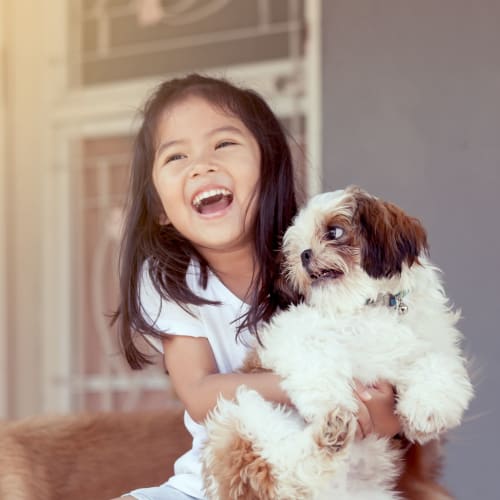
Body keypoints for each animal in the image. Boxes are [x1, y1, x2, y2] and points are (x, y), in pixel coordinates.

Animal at [200, 186, 472, 498]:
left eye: (334, 232)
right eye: (296, 247)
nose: (304, 254)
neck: (370, 306)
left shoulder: (433, 343)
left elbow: (437, 364)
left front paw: (428, 410)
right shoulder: (289, 333)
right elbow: (316, 354)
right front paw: (330, 401)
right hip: (241, 416)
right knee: (284, 471)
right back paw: (332, 429)